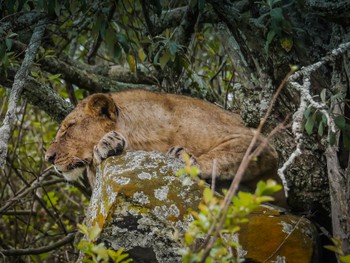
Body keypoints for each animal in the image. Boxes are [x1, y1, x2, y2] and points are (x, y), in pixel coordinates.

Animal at [45, 88, 284, 202]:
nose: (48, 158)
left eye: (68, 128)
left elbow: (220, 156)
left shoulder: (257, 141)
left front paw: (184, 157)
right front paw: (107, 143)